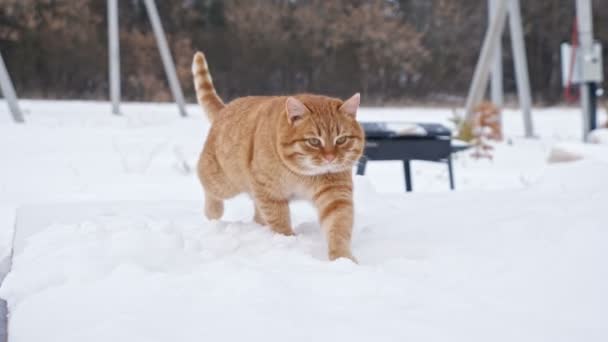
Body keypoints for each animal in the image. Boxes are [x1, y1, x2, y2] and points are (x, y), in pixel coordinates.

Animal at [192, 51, 364, 262]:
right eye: (314, 142)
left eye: (341, 140)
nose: (330, 158)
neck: (303, 175)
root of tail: (225, 108)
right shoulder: (269, 192)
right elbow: (279, 219)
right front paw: (287, 241)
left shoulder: (335, 195)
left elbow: (339, 227)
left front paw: (342, 258)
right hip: (224, 182)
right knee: (206, 182)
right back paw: (213, 213)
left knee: (257, 214)